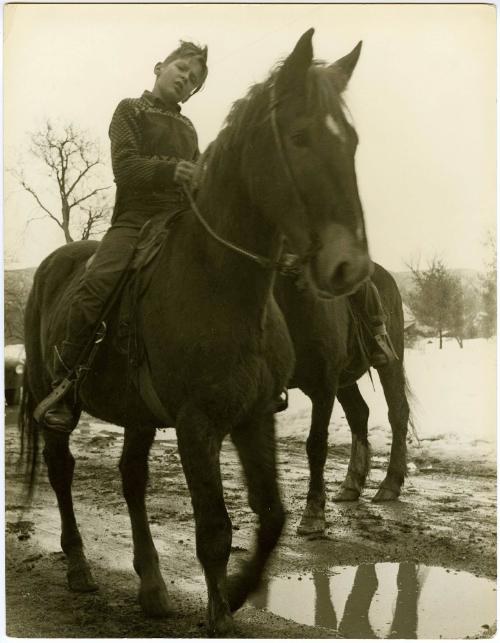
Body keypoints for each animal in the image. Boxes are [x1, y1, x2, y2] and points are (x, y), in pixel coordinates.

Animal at [19, 30, 372, 632]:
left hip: (138, 415)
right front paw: (220, 613)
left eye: (350, 142)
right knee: (63, 471)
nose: (349, 268)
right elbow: (214, 531)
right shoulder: (197, 424)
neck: (219, 283)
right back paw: (79, 567)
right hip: (54, 396)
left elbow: (271, 517)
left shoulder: (253, 416)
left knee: (132, 479)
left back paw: (152, 585)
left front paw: (235, 592)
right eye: (300, 137)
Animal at [276, 260, 412, 532]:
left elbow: (316, 445)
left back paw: (390, 484)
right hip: (344, 379)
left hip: (388, 364)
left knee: (397, 413)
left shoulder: (324, 386)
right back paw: (351, 483)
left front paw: (313, 514)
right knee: (359, 413)